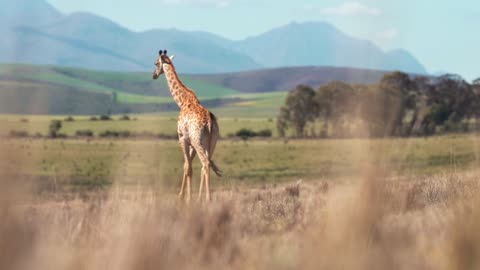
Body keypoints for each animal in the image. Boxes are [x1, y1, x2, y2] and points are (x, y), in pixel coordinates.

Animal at [153, 49, 222, 201]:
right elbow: (186, 165)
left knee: (205, 163)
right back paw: (203, 197)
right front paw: (185, 195)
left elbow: (188, 167)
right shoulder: (191, 143)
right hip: (211, 142)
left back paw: (208, 199)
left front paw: (187, 198)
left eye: (155, 63)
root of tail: (209, 122)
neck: (182, 101)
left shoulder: (182, 138)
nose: (153, 75)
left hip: (198, 141)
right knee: (206, 165)